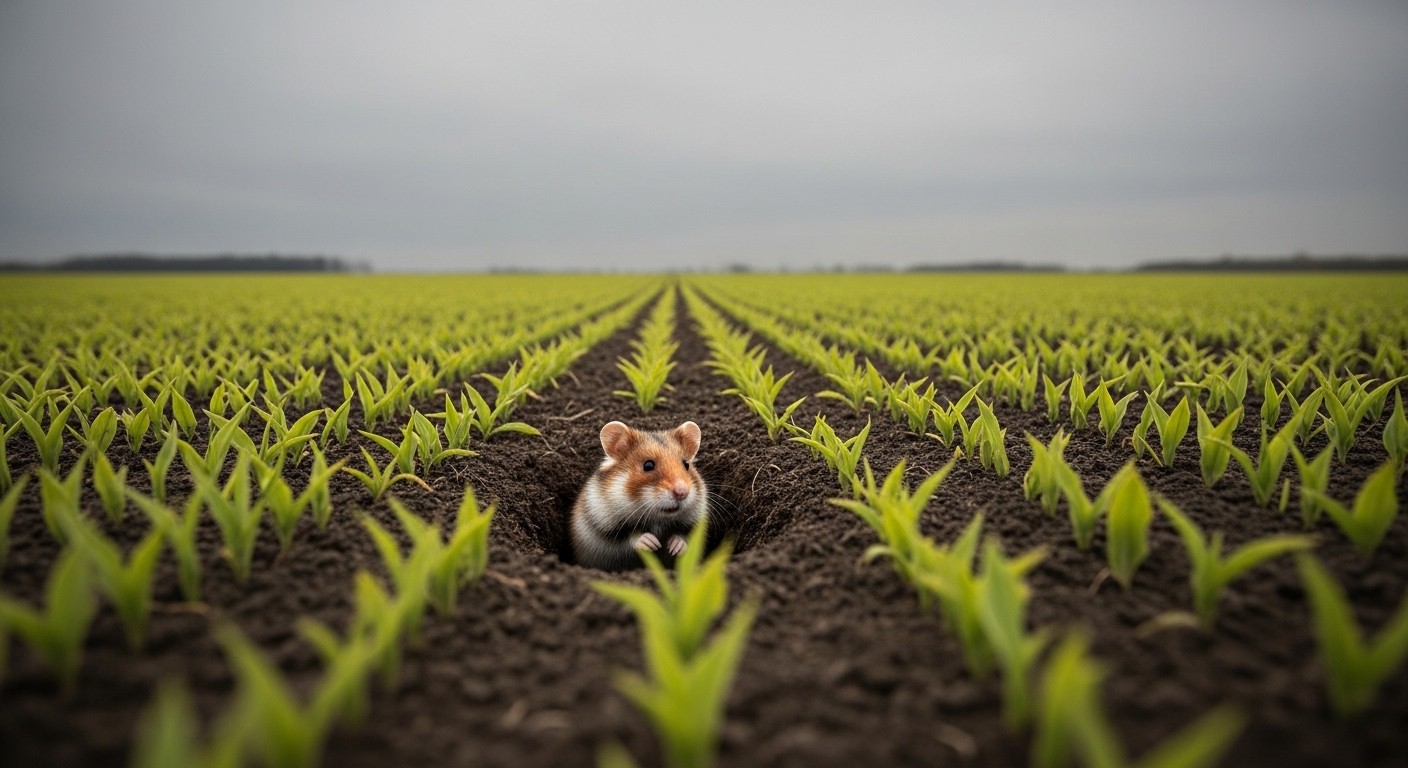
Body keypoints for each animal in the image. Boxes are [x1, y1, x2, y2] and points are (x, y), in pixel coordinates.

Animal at [570, 420, 708, 571]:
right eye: (648, 465)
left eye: (686, 464)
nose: (682, 493)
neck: (657, 521)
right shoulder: (604, 533)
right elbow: (630, 539)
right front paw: (652, 543)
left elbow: (684, 537)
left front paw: (675, 546)